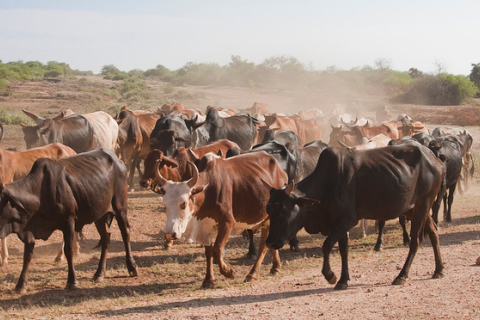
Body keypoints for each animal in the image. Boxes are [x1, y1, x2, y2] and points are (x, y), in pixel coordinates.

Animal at [0, 149, 138, 294]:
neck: (39, 192)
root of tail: (118, 159)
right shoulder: (29, 231)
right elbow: (27, 255)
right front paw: (21, 285)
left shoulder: (69, 221)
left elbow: (69, 250)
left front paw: (72, 281)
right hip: (99, 215)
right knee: (106, 238)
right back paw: (99, 274)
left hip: (120, 207)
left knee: (125, 233)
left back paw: (132, 267)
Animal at [264, 143, 444, 290]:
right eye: (269, 210)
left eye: (284, 210)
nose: (270, 242)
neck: (327, 184)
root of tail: (435, 159)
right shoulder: (337, 223)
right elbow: (343, 250)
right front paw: (343, 280)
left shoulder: (347, 220)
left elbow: (327, 245)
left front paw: (330, 275)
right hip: (416, 209)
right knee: (434, 232)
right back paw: (439, 270)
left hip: (423, 204)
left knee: (416, 240)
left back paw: (402, 276)